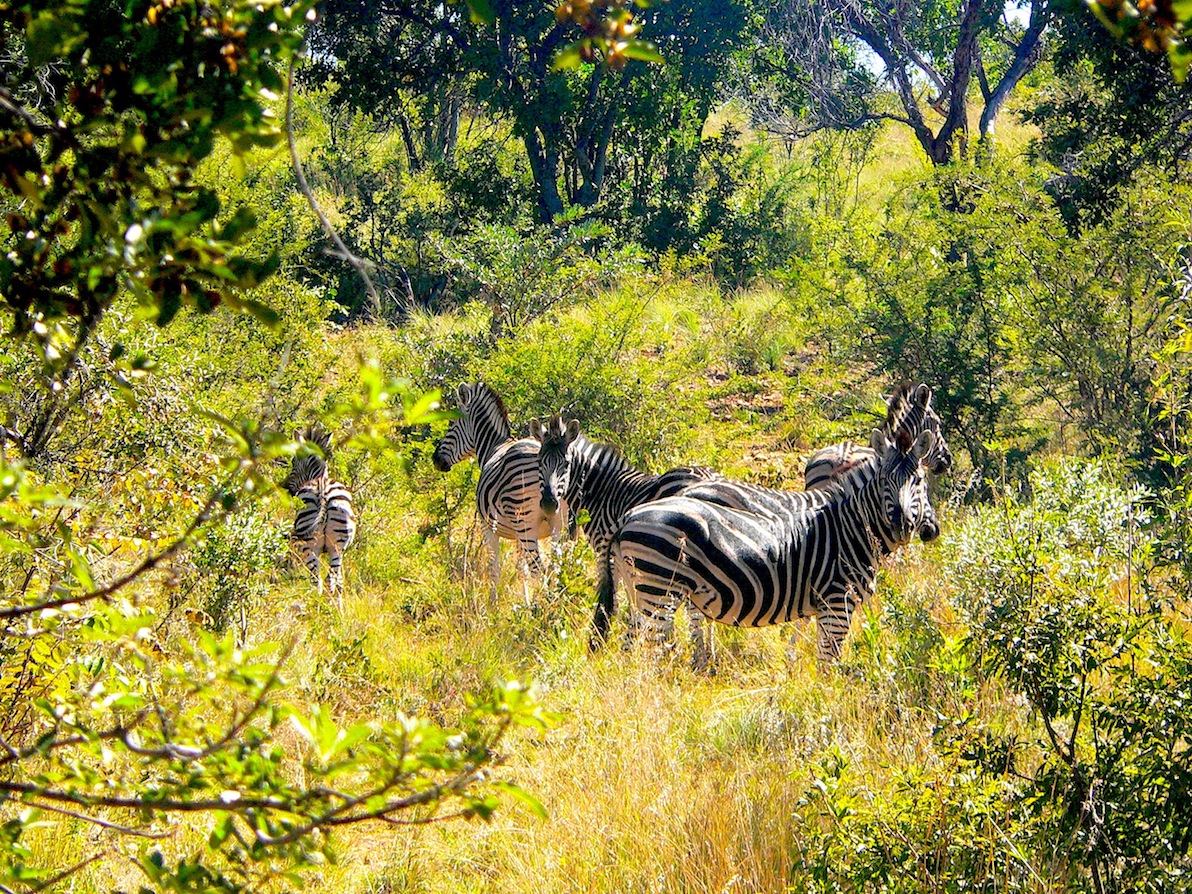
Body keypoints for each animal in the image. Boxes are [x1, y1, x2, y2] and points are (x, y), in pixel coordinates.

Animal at [283, 424, 357, 605]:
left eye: (293, 462)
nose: (284, 487)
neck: (318, 477)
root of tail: (323, 491)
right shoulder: (340, 551)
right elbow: (339, 583)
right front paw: (339, 603)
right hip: (336, 545)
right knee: (329, 580)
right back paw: (327, 607)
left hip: (310, 546)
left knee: (317, 580)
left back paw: (316, 606)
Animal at [429, 379, 562, 603]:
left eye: (451, 425)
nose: (435, 459)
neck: (494, 446)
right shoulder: (517, 536)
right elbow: (521, 569)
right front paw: (525, 602)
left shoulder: (487, 527)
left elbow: (494, 568)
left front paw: (493, 605)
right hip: (560, 526)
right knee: (558, 567)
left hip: (525, 523)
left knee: (539, 568)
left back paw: (545, 608)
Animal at [531, 417, 715, 648]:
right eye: (539, 462)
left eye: (565, 464)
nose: (549, 503)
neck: (601, 492)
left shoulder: (605, 548)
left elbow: (615, 593)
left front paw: (604, 635)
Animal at [615, 426, 939, 672]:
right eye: (885, 481)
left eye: (919, 481)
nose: (903, 524)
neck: (850, 529)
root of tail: (629, 515)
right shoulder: (837, 602)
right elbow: (829, 661)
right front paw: (826, 700)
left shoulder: (819, 604)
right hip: (658, 589)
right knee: (644, 645)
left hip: (645, 590)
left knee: (633, 641)